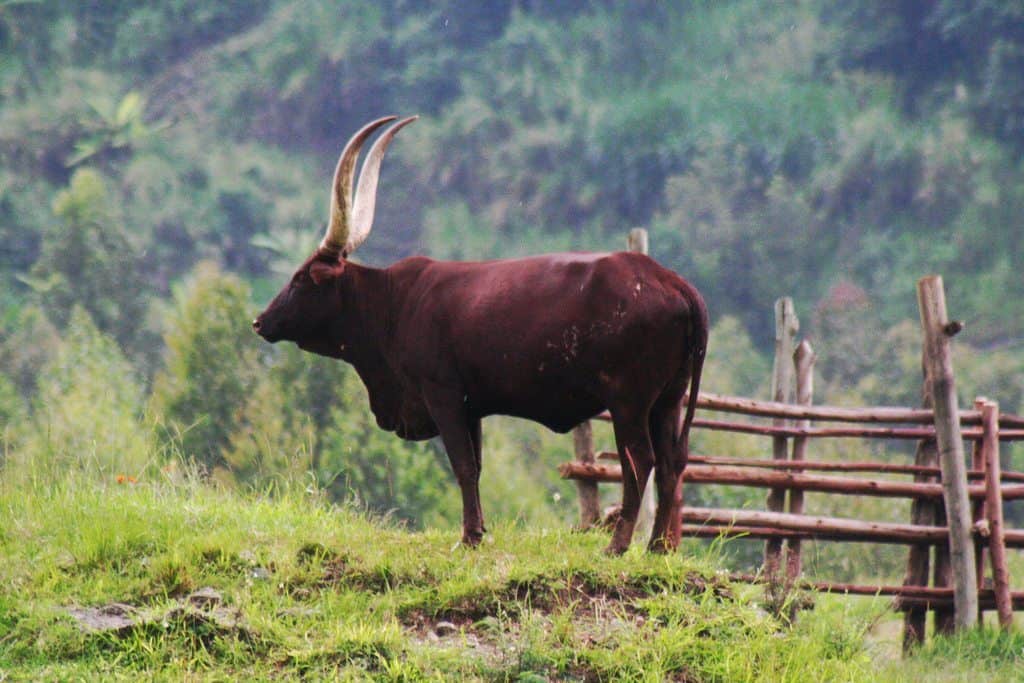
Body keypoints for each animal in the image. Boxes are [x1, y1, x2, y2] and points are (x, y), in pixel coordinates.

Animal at [251, 116, 708, 557]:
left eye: (300, 278)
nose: (260, 321)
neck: (394, 303)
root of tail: (672, 281)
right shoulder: (473, 406)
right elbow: (477, 465)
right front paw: (479, 530)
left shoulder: (443, 394)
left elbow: (463, 465)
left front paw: (468, 536)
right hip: (668, 399)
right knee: (672, 463)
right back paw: (657, 548)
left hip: (628, 400)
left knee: (641, 461)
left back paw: (618, 545)